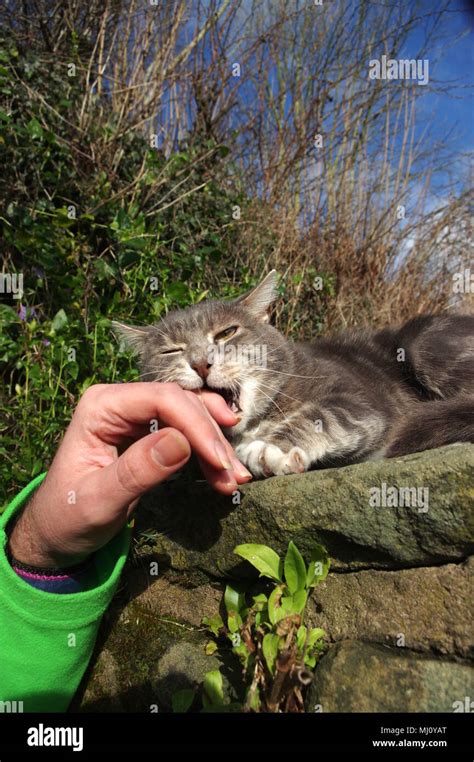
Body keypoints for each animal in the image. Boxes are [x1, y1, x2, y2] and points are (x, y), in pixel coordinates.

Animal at [112, 272, 474, 476]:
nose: (201, 363)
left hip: (423, 343)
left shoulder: (364, 398)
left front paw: (272, 449)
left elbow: (326, 415)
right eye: (170, 351)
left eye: (227, 332)